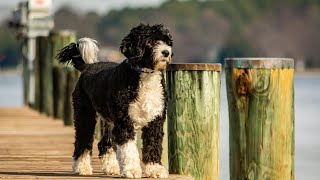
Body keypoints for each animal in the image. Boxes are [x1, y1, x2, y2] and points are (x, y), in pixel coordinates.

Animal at [56, 23, 174, 178]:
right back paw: (82, 167)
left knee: (104, 143)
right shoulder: (124, 121)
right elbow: (128, 149)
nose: (166, 52)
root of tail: (88, 66)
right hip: (85, 114)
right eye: (150, 41)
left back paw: (111, 167)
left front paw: (154, 169)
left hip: (109, 121)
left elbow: (153, 144)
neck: (144, 75)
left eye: (166, 41)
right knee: (83, 141)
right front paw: (132, 170)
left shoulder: (155, 119)